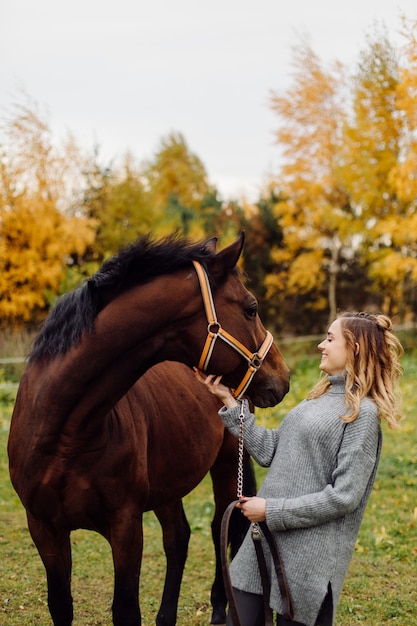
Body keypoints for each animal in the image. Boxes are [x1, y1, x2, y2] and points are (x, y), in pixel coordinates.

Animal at [7, 233, 290, 624]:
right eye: (251, 308)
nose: (283, 378)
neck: (65, 434)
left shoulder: (125, 527)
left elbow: (126, 608)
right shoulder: (44, 528)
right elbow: (61, 605)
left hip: (223, 464)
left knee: (221, 525)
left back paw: (220, 609)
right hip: (168, 480)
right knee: (178, 537)